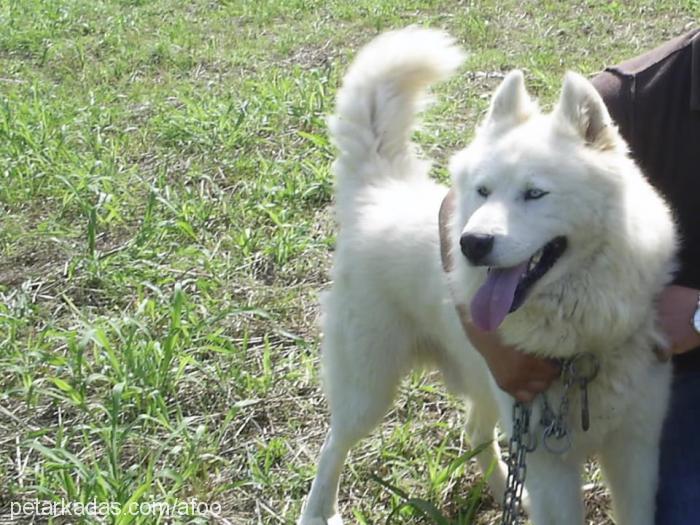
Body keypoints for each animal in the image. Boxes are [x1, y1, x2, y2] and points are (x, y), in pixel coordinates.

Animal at [300, 27, 680, 524]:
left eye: (535, 193)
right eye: (482, 191)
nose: (471, 244)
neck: (579, 347)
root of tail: (380, 191)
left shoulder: (636, 449)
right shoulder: (551, 463)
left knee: (474, 432)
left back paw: (506, 493)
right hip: (368, 390)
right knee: (333, 446)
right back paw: (317, 510)